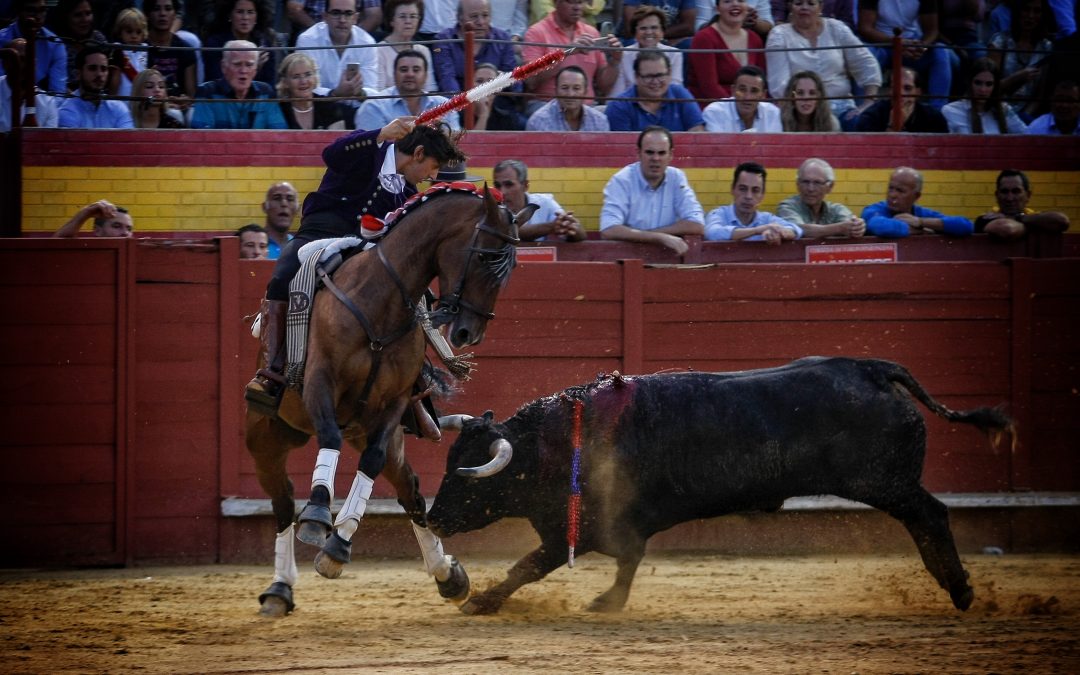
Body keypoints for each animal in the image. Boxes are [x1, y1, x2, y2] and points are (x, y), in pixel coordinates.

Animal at [241, 185, 535, 617]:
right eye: (484, 256)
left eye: (511, 267)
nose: (468, 333)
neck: (381, 301)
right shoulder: (320, 382)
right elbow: (329, 440)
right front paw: (317, 515)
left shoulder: (393, 404)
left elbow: (372, 461)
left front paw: (338, 545)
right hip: (265, 439)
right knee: (281, 504)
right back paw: (279, 588)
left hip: (375, 432)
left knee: (409, 491)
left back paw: (448, 576)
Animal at [427, 358, 1010, 617]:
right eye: (448, 462)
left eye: (470, 481)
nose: (431, 517)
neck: (553, 445)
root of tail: (872, 369)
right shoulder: (615, 528)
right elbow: (628, 561)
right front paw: (609, 601)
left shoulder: (584, 529)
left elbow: (529, 566)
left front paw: (480, 603)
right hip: (889, 484)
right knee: (922, 520)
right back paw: (949, 584)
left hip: (885, 482)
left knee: (931, 515)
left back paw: (961, 590)